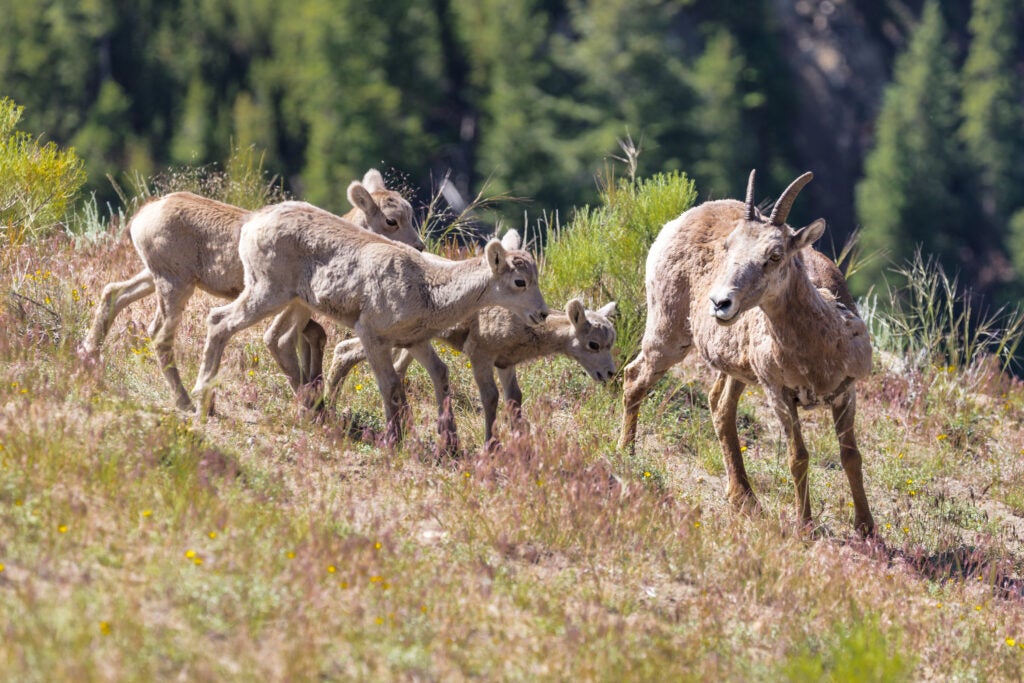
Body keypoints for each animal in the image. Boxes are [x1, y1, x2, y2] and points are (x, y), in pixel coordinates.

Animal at [74, 169, 419, 411]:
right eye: (391, 220)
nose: (420, 246)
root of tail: (142, 216)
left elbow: (315, 337)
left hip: (154, 275)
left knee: (113, 294)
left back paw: (89, 360)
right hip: (175, 285)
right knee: (159, 333)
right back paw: (188, 402)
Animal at [189, 204, 548, 448]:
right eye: (520, 281)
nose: (542, 314)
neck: (429, 289)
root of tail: (252, 224)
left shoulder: (415, 341)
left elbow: (438, 376)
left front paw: (449, 443)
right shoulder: (372, 335)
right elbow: (389, 386)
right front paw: (394, 440)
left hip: (295, 301)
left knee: (275, 339)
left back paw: (310, 408)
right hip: (267, 291)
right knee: (220, 321)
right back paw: (202, 401)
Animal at [327, 296, 614, 446]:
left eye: (611, 341)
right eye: (593, 344)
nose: (610, 374)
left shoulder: (505, 364)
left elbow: (514, 398)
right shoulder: (480, 356)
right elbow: (490, 398)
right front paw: (491, 446)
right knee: (345, 351)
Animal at [614, 169, 872, 532]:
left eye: (775, 254)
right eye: (728, 246)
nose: (720, 303)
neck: (818, 350)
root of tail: (675, 223)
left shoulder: (846, 393)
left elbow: (851, 456)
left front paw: (867, 528)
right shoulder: (779, 394)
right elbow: (798, 457)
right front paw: (804, 526)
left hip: (735, 370)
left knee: (719, 406)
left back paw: (744, 499)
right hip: (668, 335)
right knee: (635, 377)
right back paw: (627, 455)